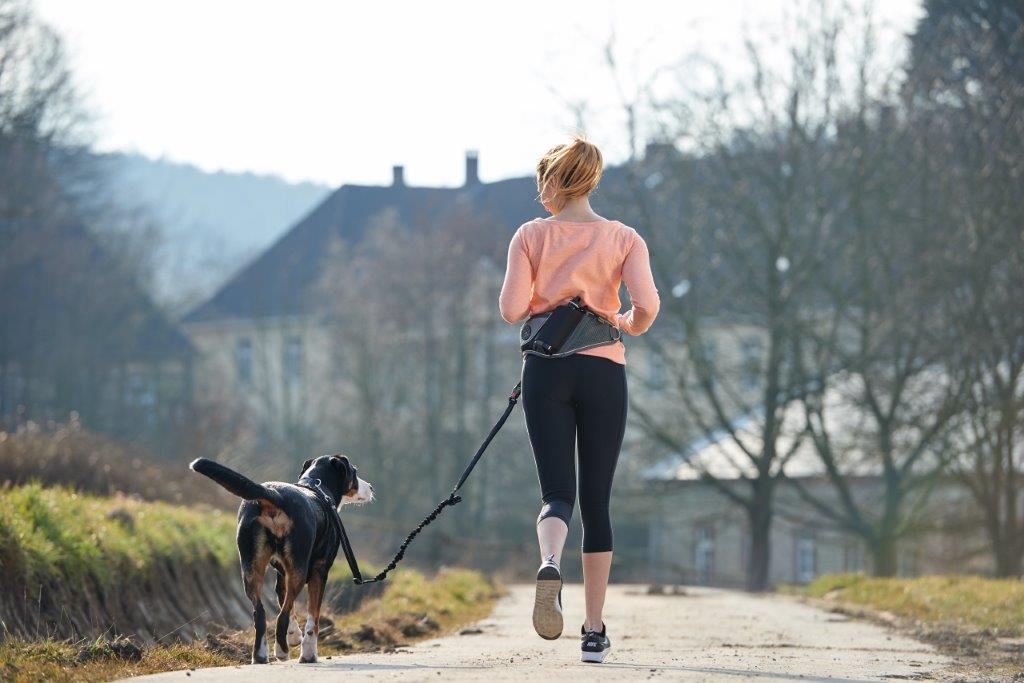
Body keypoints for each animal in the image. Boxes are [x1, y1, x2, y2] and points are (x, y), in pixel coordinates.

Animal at [189, 454, 372, 663]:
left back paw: (261, 655)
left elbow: (289, 607)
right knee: (280, 616)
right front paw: (308, 653)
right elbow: (312, 619)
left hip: (251, 568)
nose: (371, 487)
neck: (317, 487)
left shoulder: (281, 575)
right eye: (354, 472)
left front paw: (294, 636)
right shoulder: (319, 572)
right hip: (298, 571)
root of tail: (274, 494)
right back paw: (282, 650)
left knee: (260, 613)